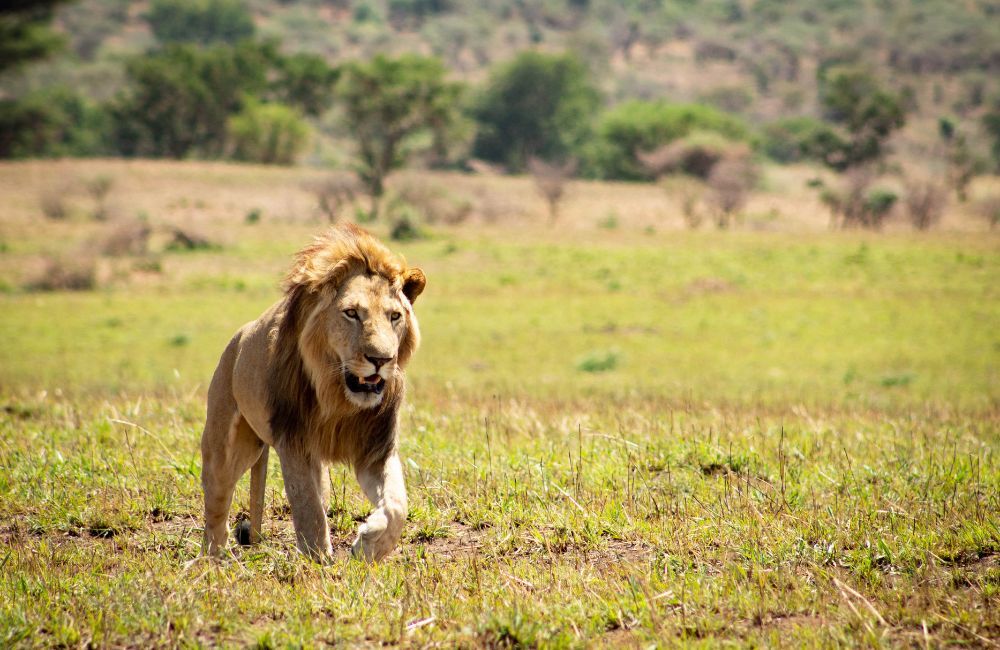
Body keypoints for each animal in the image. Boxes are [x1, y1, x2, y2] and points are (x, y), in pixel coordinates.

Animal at [200, 223, 426, 562]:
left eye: (395, 316)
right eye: (352, 313)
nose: (382, 359)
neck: (339, 397)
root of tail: (240, 336)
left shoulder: (375, 448)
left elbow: (397, 503)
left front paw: (369, 545)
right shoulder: (292, 441)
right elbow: (307, 507)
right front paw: (318, 559)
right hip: (228, 445)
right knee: (216, 505)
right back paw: (210, 559)